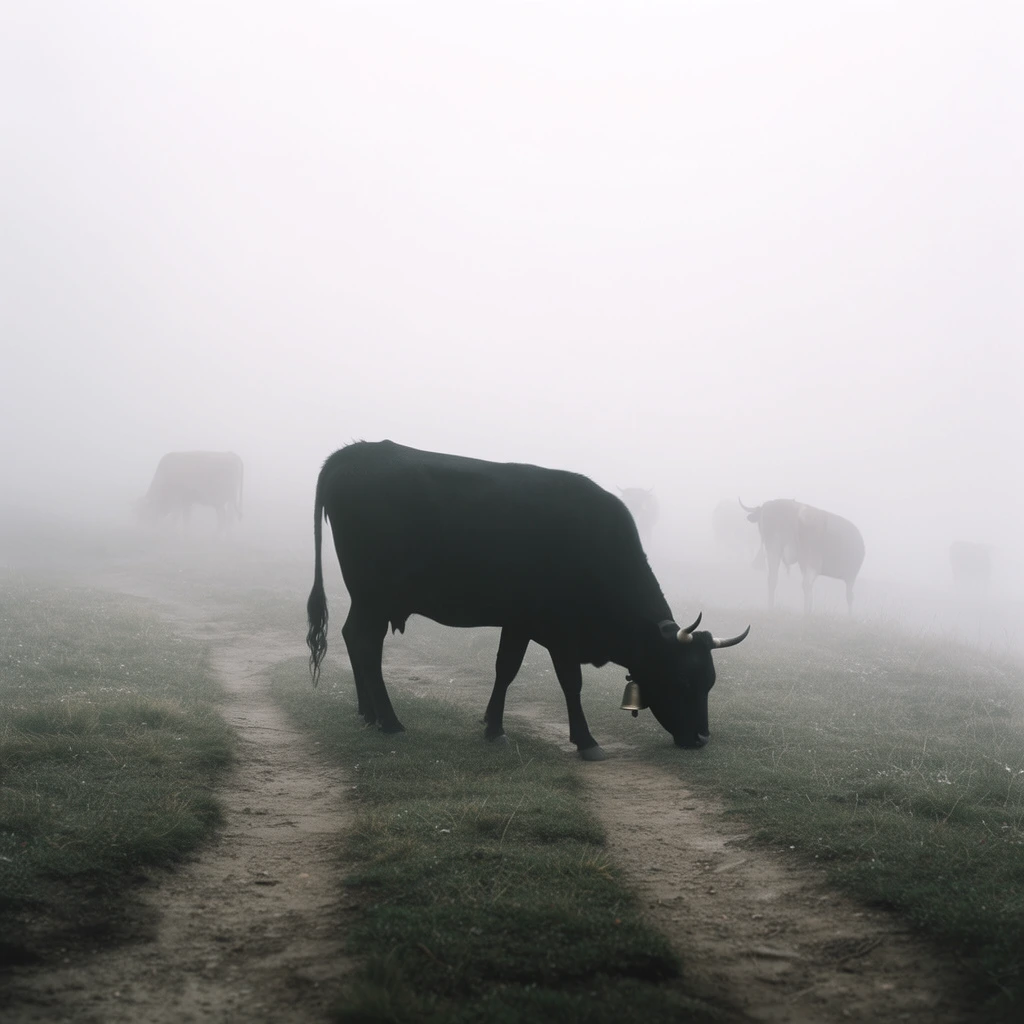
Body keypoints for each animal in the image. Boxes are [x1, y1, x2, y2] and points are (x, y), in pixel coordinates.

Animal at [306, 441, 749, 760]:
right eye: (683, 680)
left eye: (709, 682)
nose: (701, 739)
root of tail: (355, 452)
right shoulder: (561, 631)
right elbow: (571, 683)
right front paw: (586, 741)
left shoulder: (518, 621)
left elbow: (505, 669)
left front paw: (492, 726)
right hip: (374, 596)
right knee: (365, 643)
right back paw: (390, 721)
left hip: (370, 600)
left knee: (356, 639)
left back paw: (368, 714)